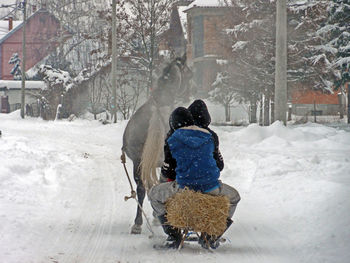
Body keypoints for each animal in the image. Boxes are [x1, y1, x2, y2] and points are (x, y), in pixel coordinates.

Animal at [120, 54, 191, 234]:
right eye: (188, 72)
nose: (189, 92)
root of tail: (156, 112)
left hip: (138, 161)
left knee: (141, 189)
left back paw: (137, 223)